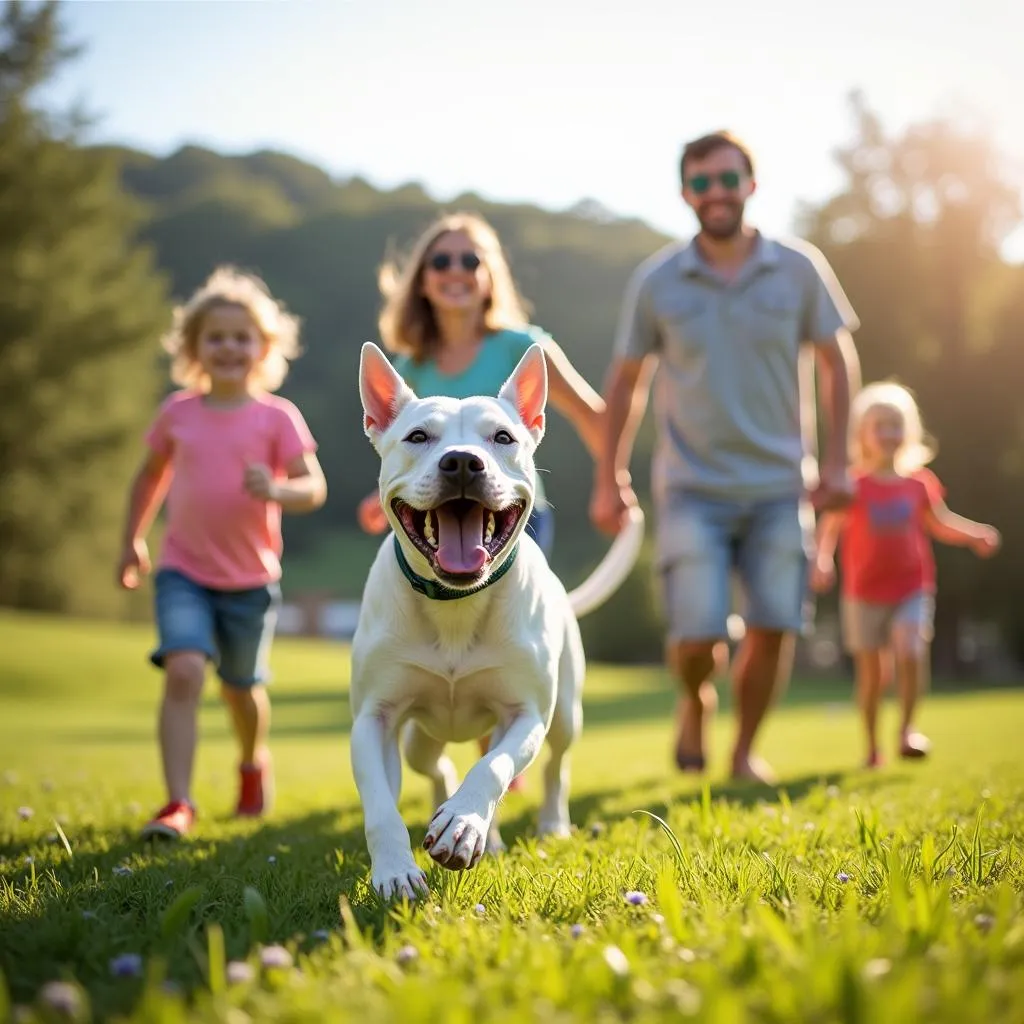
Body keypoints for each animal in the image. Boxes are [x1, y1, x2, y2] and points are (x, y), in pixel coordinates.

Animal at [352, 342, 638, 897]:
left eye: (502, 437)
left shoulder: (526, 714)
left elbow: (494, 767)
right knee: (434, 764)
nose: (463, 461)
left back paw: (547, 824)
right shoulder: (373, 717)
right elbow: (380, 804)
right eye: (418, 436)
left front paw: (464, 822)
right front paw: (395, 869)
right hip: (420, 737)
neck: (455, 604)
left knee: (554, 766)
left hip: (566, 714)